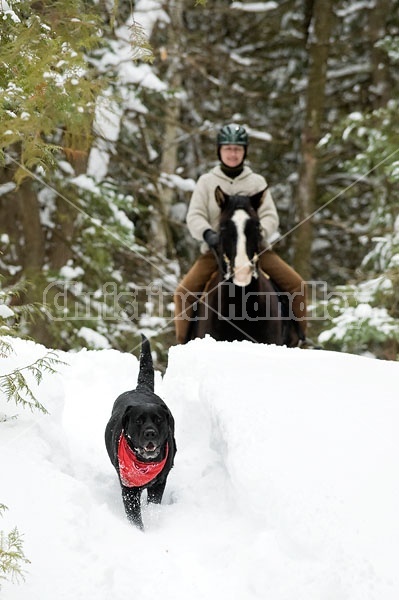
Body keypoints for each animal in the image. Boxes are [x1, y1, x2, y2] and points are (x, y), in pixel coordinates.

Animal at [104, 338, 177, 528]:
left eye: (158, 420)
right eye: (138, 421)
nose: (150, 433)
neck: (145, 463)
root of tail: (141, 389)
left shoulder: (159, 483)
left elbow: (153, 503)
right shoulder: (129, 489)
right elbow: (135, 516)